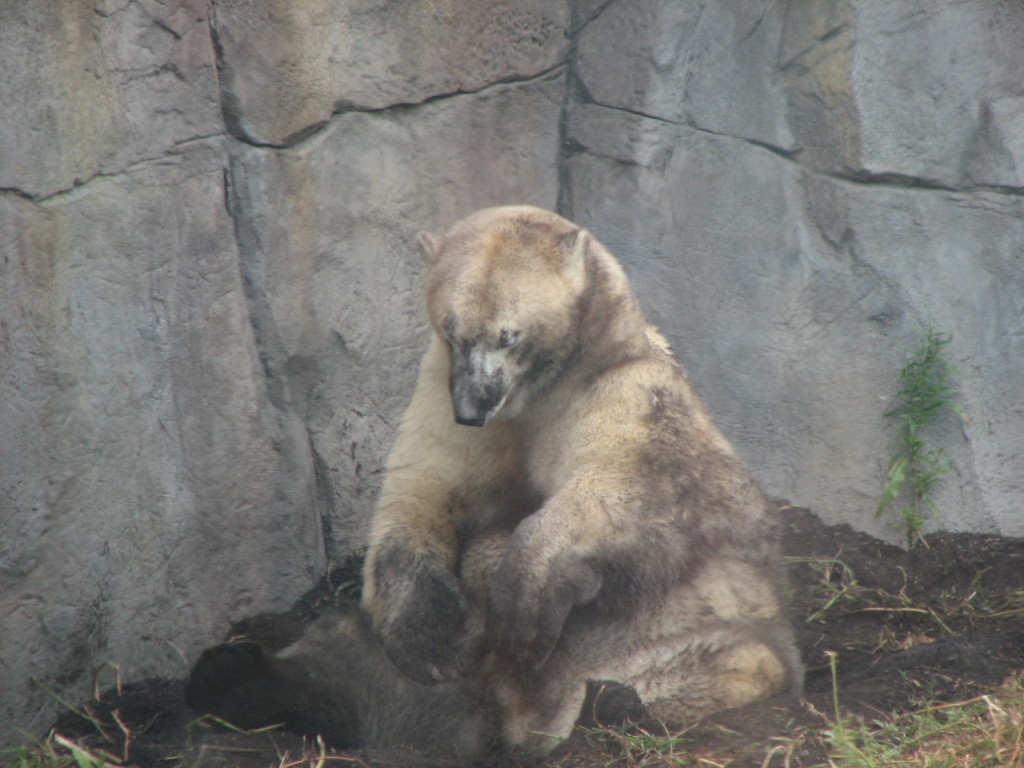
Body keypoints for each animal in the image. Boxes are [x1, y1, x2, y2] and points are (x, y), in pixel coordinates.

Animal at [188, 204, 802, 757]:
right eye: (451, 329)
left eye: (509, 334)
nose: (474, 404)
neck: (534, 397)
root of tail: (506, 719)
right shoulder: (442, 393)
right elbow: (421, 494)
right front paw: (435, 639)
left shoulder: (626, 393)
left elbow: (627, 487)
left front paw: (524, 602)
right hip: (381, 655)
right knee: (340, 670)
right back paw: (232, 672)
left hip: (662, 637)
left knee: (725, 663)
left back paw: (615, 706)